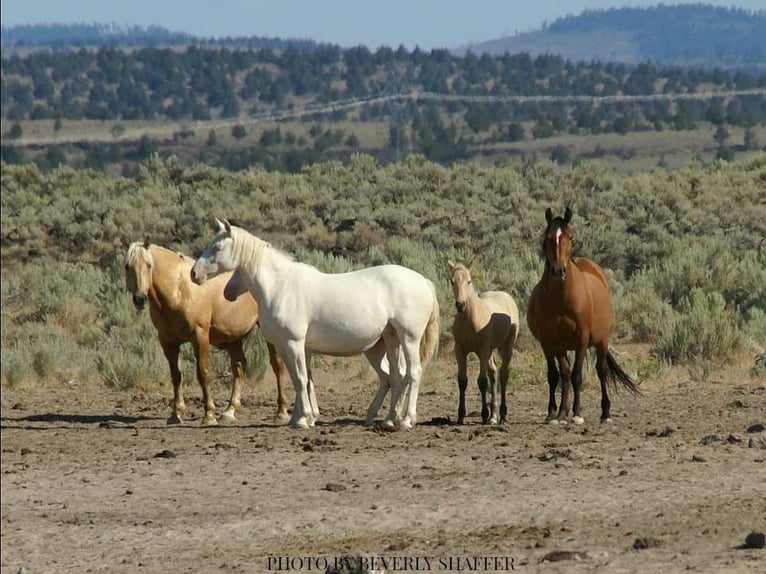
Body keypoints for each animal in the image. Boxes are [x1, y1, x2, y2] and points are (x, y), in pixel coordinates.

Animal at [126, 241, 288, 426]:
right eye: (127, 266)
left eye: (149, 265)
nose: (139, 299)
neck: (179, 290)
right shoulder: (168, 342)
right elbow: (176, 376)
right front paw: (176, 414)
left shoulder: (200, 336)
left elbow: (203, 373)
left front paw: (209, 415)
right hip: (233, 336)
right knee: (239, 366)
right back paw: (230, 411)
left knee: (277, 365)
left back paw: (281, 412)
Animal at [190, 222, 438, 432]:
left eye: (217, 247)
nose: (194, 274)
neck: (281, 287)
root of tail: (424, 281)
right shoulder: (287, 347)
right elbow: (298, 379)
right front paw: (298, 417)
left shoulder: (294, 343)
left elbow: (301, 379)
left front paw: (303, 420)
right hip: (389, 340)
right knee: (396, 376)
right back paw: (387, 419)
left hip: (409, 338)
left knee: (413, 374)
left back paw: (406, 420)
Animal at [450, 264, 520, 426]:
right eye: (452, 281)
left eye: (469, 281)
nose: (460, 305)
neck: (470, 319)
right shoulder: (460, 350)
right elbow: (462, 381)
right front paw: (461, 415)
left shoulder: (482, 350)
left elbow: (482, 382)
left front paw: (483, 414)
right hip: (490, 351)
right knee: (493, 373)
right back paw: (493, 416)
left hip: (507, 347)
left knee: (503, 374)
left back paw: (502, 414)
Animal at [528, 209, 640, 426]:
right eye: (548, 237)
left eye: (570, 237)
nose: (558, 271)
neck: (561, 300)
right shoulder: (549, 342)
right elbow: (555, 375)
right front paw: (555, 413)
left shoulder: (581, 339)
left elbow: (577, 375)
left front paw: (577, 413)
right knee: (564, 374)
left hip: (602, 340)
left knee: (601, 371)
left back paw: (605, 413)